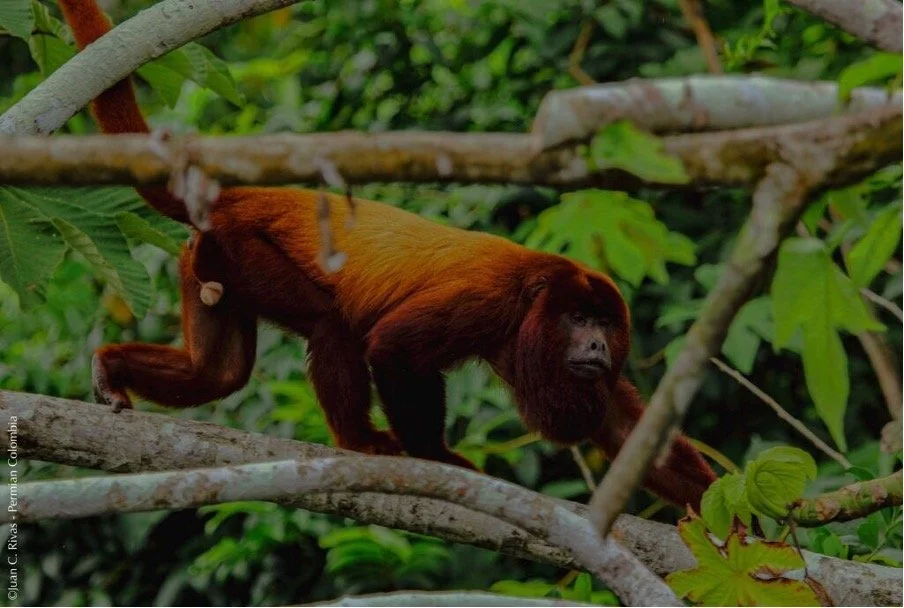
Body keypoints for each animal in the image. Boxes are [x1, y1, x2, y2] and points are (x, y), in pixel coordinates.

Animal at [58, 0, 716, 509]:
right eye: (580, 319)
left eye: (605, 324)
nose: (600, 345)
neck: (536, 299)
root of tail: (238, 195)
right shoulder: (487, 301)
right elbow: (394, 348)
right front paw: (436, 455)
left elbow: (629, 433)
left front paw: (729, 525)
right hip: (244, 247)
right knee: (331, 323)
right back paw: (359, 439)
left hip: (205, 259)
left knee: (216, 373)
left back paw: (112, 365)